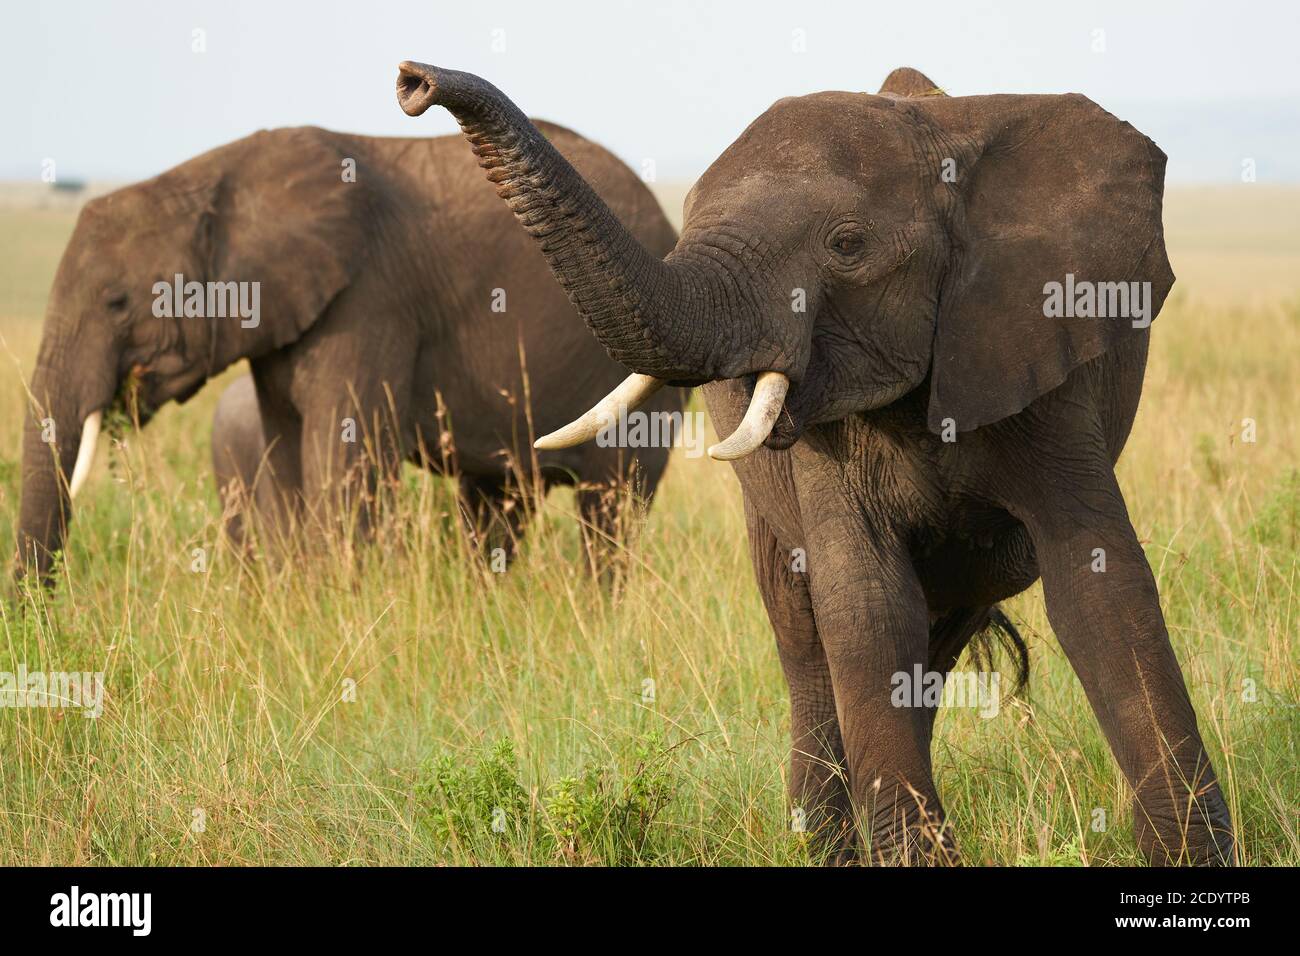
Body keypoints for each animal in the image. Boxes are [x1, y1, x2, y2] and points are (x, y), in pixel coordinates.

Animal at [15, 124, 686, 580]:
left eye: (117, 302)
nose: (35, 613)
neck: (217, 180)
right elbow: (289, 462)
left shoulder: (372, 302)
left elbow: (341, 462)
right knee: (497, 504)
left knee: (611, 512)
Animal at [397, 63, 1237, 863]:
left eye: (847, 245)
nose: (413, 81)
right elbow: (864, 605)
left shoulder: (1034, 350)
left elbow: (1099, 584)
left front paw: (1191, 859)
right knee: (809, 641)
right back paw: (827, 844)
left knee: (933, 639)